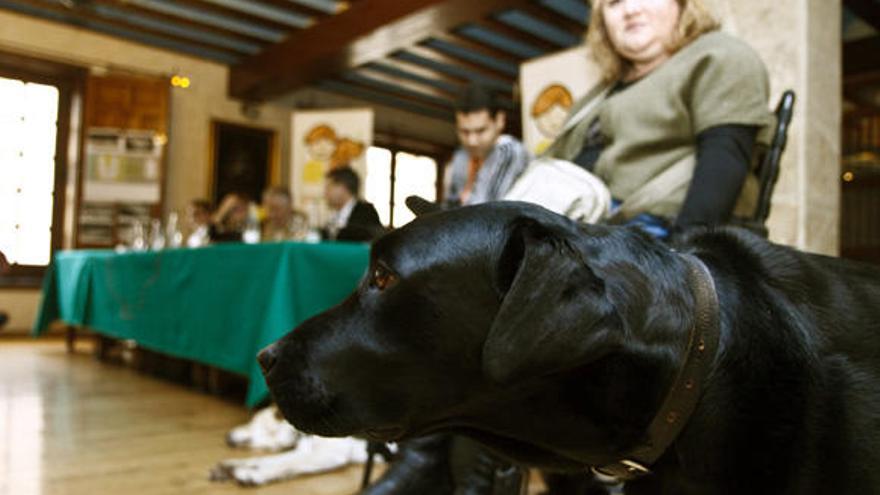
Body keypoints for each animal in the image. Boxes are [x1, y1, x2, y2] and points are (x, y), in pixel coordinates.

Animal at [211, 408, 384, 486]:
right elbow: (266, 460)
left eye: (251, 421)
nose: (227, 436)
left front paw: (253, 475)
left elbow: (284, 464)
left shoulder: (328, 454)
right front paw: (230, 467)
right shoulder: (304, 451)